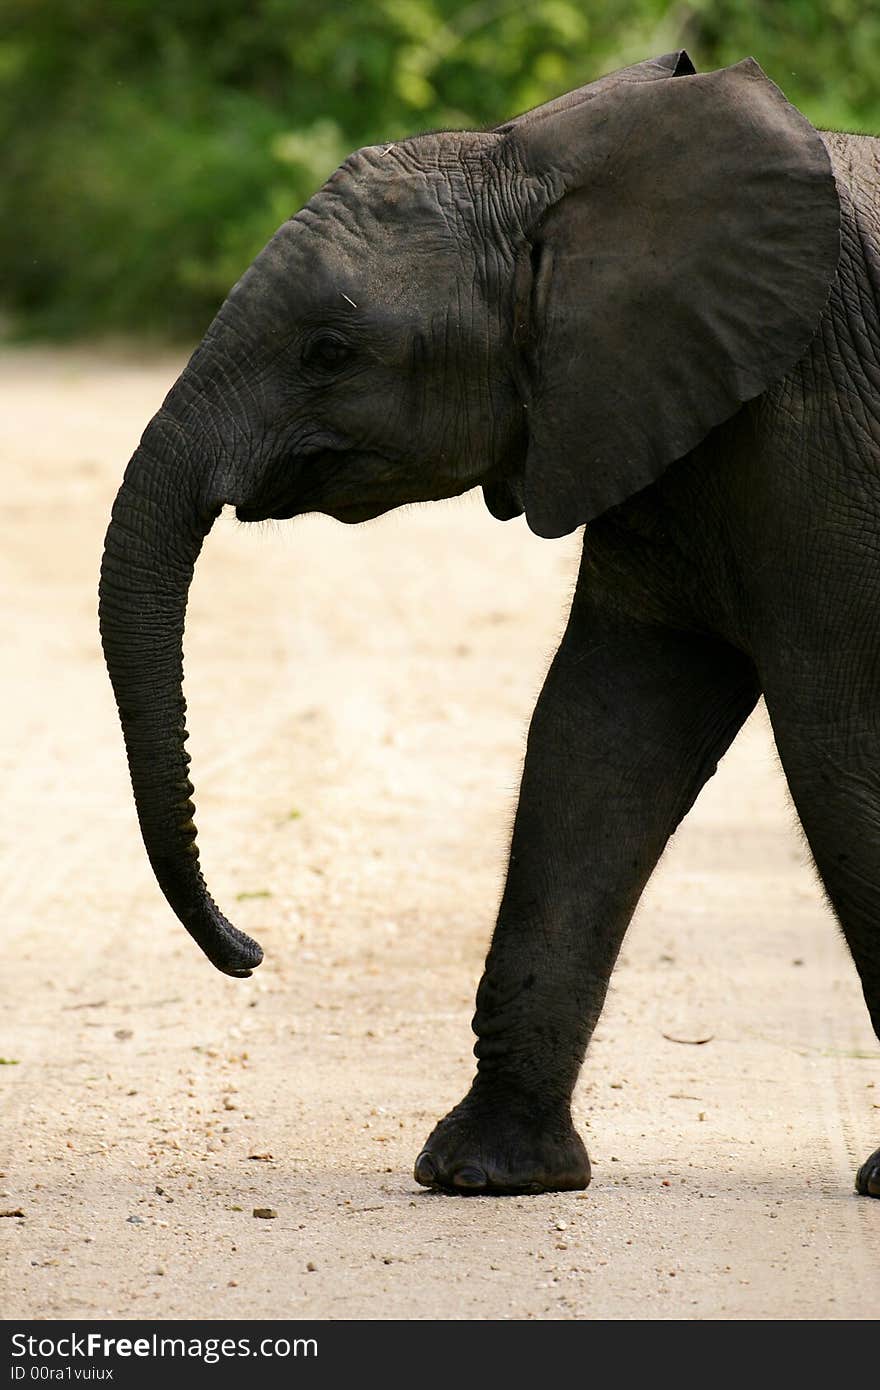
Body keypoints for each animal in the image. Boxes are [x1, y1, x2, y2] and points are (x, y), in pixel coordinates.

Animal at [99, 48, 878, 1200]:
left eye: (330, 349)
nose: (250, 953)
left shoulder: (819, 435)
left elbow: (837, 748)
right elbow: (597, 737)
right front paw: (486, 1176)